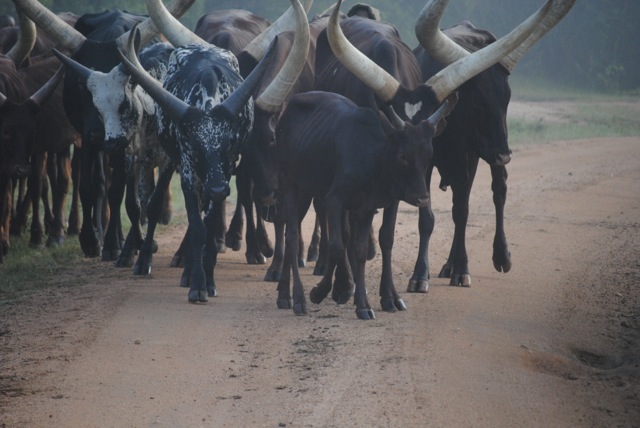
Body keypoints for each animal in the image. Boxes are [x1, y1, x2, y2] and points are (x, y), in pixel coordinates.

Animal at [11, 0, 194, 260]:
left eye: (129, 84)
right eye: (80, 84)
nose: (100, 133)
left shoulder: (124, 144)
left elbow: (118, 190)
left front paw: (113, 244)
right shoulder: (86, 137)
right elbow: (90, 186)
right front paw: (90, 239)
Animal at [117, 0, 308, 302]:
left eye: (230, 143)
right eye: (195, 146)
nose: (269, 195)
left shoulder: (228, 171)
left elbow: (214, 219)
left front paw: (208, 278)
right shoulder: (189, 169)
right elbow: (198, 226)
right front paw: (196, 282)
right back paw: (153, 259)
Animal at [408, 0, 576, 290]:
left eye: (506, 99)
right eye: (477, 101)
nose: (504, 155)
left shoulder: (468, 157)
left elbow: (462, 212)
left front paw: (462, 270)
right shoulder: (425, 162)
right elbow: (427, 217)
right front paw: (420, 275)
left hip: (485, 154)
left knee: (498, 192)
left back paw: (500, 256)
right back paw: (448, 265)